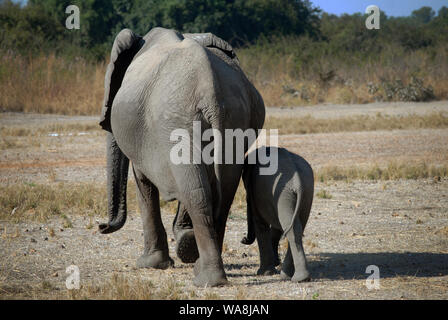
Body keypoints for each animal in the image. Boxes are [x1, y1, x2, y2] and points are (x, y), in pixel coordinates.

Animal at [98, 28, 266, 288]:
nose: (102, 226)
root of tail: (211, 92)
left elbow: (143, 183)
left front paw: (150, 264)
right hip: (233, 122)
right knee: (220, 191)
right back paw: (200, 264)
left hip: (175, 123)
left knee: (196, 191)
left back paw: (206, 278)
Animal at [242, 146, 316, 282]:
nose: (243, 239)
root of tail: (297, 181)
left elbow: (260, 224)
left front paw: (265, 273)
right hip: (305, 192)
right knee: (297, 227)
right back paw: (295, 277)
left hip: (286, 194)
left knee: (290, 228)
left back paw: (293, 277)